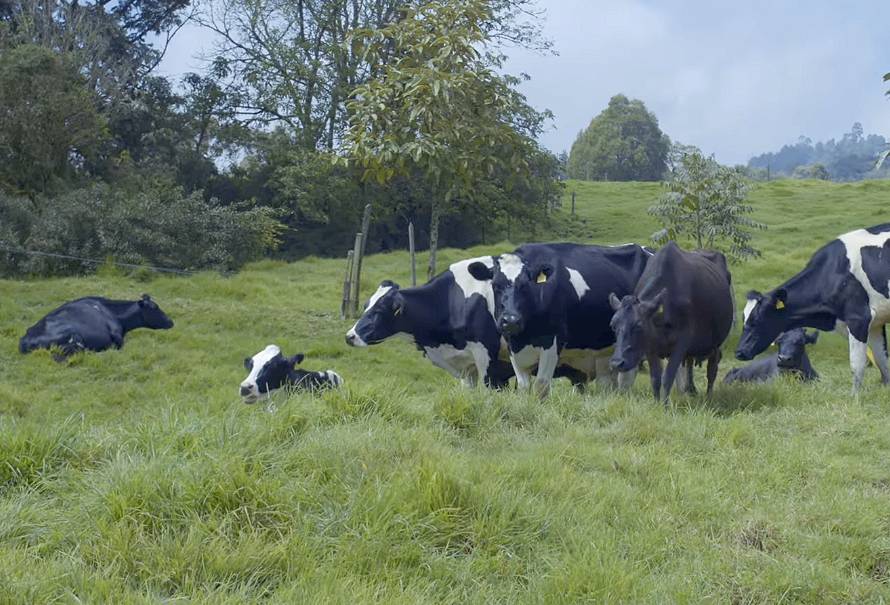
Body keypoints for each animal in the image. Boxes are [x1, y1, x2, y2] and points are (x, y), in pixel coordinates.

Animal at [464, 241, 652, 396]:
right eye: (495, 285)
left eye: (525, 285)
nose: (511, 320)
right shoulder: (512, 344)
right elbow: (523, 386)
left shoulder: (553, 341)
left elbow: (541, 385)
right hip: (605, 355)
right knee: (607, 383)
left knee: (625, 380)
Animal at [608, 242, 732, 406]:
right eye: (613, 325)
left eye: (638, 326)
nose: (617, 363)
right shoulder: (650, 347)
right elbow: (655, 378)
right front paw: (656, 404)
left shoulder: (681, 343)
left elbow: (668, 376)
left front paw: (665, 406)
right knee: (690, 363)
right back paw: (690, 389)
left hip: (716, 343)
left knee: (712, 370)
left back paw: (709, 397)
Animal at [736, 222, 888, 392]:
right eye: (743, 320)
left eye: (756, 320)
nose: (740, 352)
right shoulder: (875, 322)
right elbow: (882, 362)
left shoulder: (859, 318)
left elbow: (857, 365)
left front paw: (855, 396)